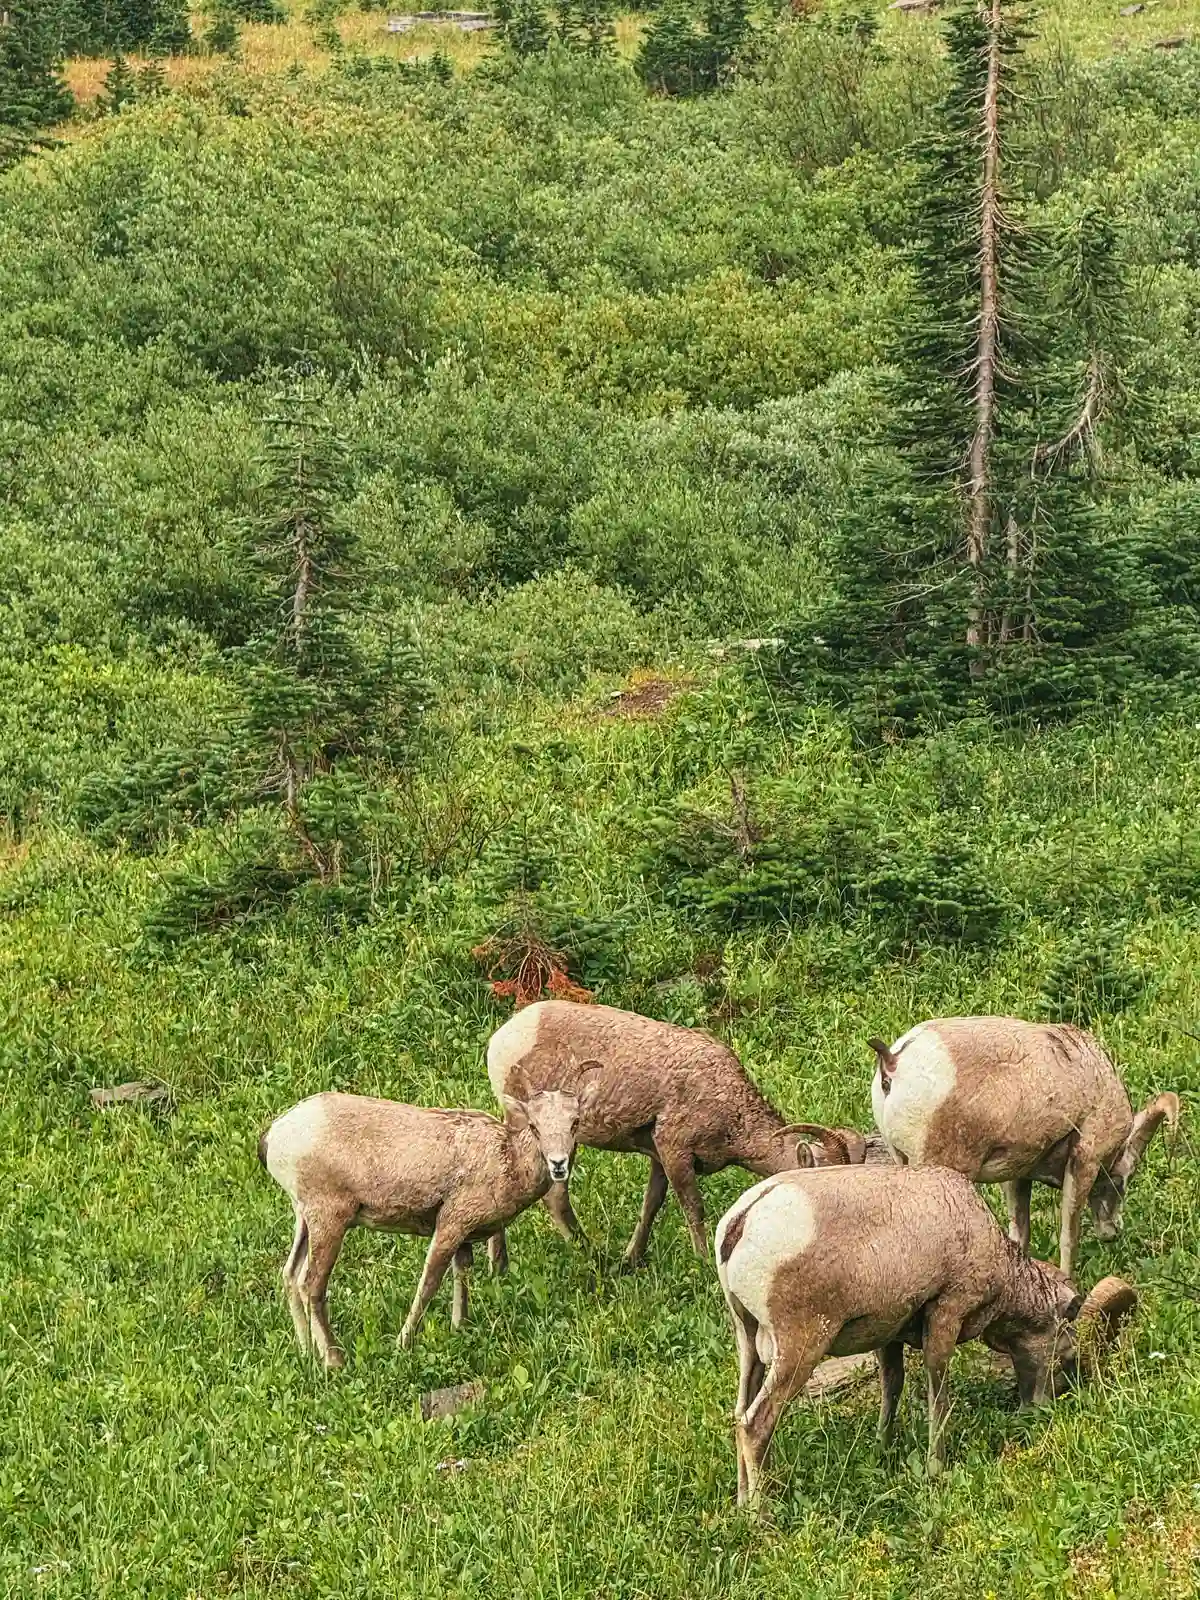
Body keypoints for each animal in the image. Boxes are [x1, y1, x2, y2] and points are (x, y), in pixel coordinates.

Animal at [258, 1087, 588, 1366]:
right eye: (534, 1126)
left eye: (575, 1123)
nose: (558, 1165)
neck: (508, 1162)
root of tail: (274, 1136)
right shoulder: (451, 1224)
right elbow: (429, 1283)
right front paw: (403, 1344)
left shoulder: (464, 1238)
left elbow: (461, 1276)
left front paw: (459, 1328)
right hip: (329, 1218)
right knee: (310, 1284)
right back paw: (335, 1361)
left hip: (304, 1218)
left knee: (290, 1275)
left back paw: (306, 1352)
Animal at [487, 999, 867, 1268]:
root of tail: (500, 1041)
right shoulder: (676, 1151)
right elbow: (693, 1207)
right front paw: (702, 1261)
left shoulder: (659, 1157)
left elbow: (651, 1205)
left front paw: (632, 1258)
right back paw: (588, 1255)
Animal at [715, 1163, 1137, 1505]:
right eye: (1068, 1355)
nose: (1041, 1410)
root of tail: (743, 1221)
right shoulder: (945, 1315)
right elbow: (939, 1396)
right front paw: (937, 1468)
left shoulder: (888, 1335)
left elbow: (892, 1386)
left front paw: (883, 1449)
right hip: (799, 1348)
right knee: (755, 1425)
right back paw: (761, 1517)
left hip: (748, 1341)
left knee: (738, 1414)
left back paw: (741, 1503)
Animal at [868, 1017, 1180, 1279]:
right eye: (1120, 1181)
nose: (1112, 1232)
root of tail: (893, 1064)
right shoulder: (1084, 1163)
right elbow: (1069, 1238)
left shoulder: (1017, 1176)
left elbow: (1020, 1236)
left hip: (902, 1162)